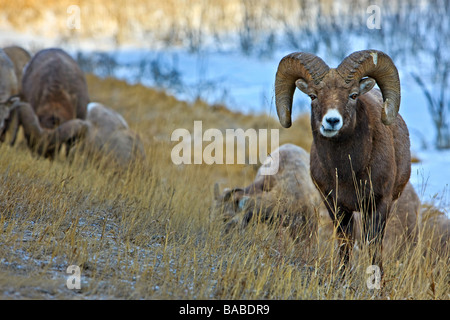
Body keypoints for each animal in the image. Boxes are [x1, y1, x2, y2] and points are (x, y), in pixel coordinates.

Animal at [274, 50, 412, 272]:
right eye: (313, 96)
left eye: (353, 95)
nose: (331, 121)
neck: (348, 171)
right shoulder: (336, 206)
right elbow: (345, 245)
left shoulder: (379, 204)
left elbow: (374, 247)